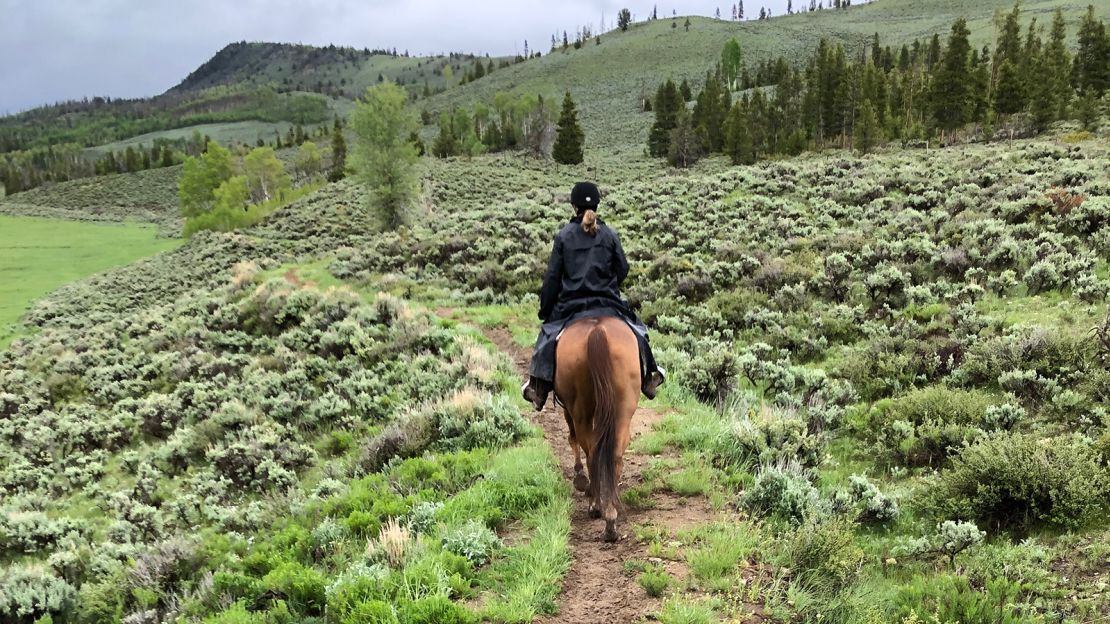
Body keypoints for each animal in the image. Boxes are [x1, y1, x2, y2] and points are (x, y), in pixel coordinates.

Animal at [555, 315, 643, 539]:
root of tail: (597, 331)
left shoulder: (569, 409)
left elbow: (572, 438)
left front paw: (580, 479)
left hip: (580, 410)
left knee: (591, 452)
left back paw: (595, 505)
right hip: (623, 411)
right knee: (614, 455)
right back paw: (611, 516)